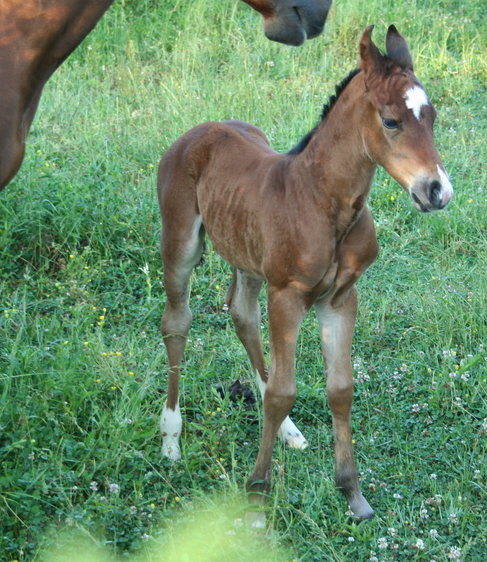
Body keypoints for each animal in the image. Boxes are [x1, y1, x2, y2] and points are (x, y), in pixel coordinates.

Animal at [158, 25, 456, 524]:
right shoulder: (288, 294)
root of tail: (200, 130)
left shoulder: (340, 298)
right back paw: (170, 439)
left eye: (431, 116)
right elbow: (283, 392)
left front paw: (353, 495)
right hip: (180, 244)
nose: (438, 191)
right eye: (391, 121)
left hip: (247, 257)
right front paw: (257, 501)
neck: (323, 200)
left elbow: (340, 388)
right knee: (177, 322)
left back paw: (289, 432)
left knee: (241, 315)